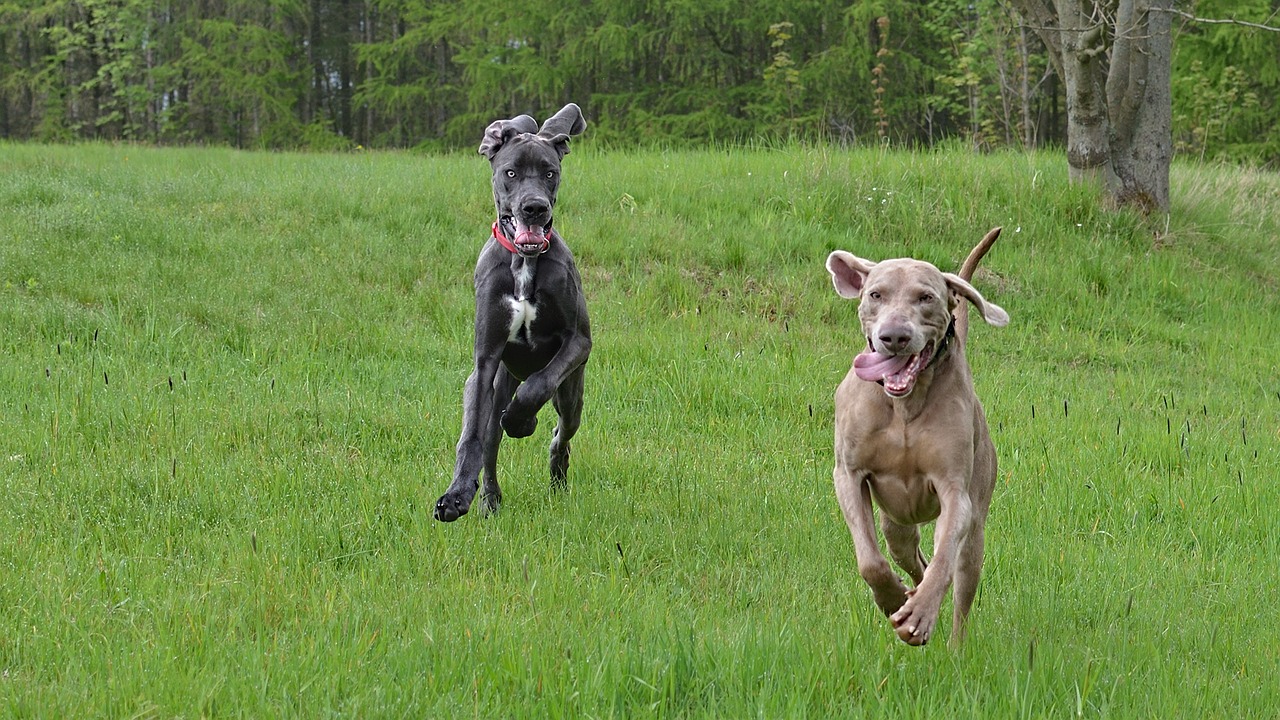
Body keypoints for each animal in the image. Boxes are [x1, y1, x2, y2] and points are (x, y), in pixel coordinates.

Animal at [430, 103, 588, 517]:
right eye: (510, 172)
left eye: (550, 172)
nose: (534, 208)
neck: (524, 262)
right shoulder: (485, 361)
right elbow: (471, 437)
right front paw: (455, 495)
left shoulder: (579, 342)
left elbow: (539, 384)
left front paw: (522, 421)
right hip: (496, 384)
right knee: (489, 440)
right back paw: (488, 499)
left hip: (573, 393)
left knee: (562, 431)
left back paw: (554, 470)